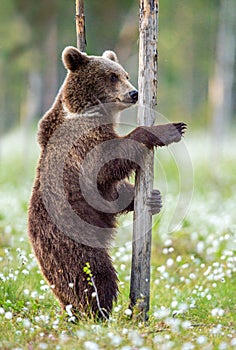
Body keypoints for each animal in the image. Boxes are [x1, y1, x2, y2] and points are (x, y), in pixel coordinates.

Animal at [27, 45, 186, 318]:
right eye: (112, 76)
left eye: (125, 74)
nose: (134, 93)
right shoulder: (81, 144)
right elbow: (106, 164)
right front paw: (170, 130)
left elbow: (111, 191)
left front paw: (153, 199)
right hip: (71, 240)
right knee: (94, 275)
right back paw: (97, 312)